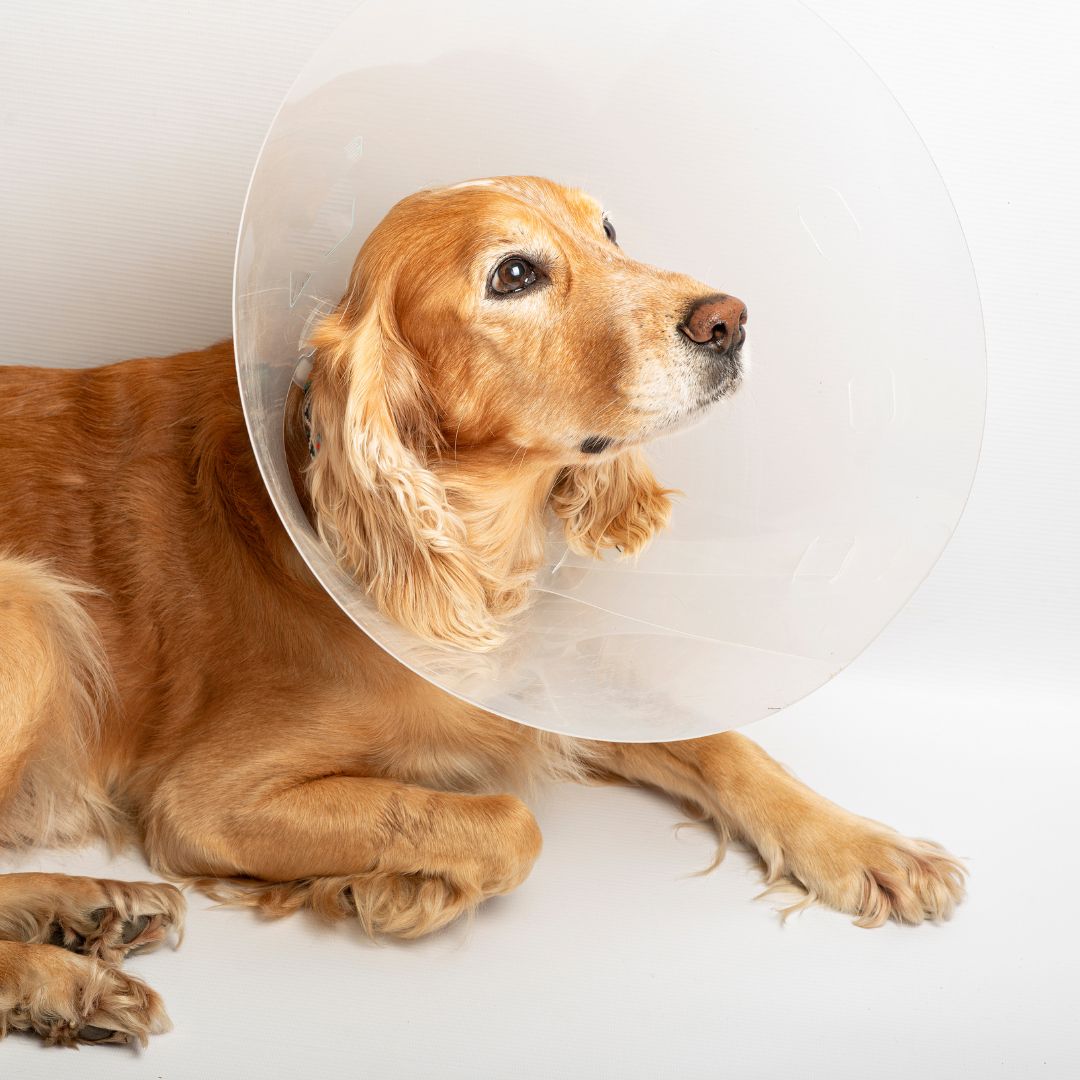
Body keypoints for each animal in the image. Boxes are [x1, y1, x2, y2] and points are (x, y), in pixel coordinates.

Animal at [0, 177, 967, 1045]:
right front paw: (396, 886)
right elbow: (505, 822)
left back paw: (89, 909)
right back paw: (59, 978)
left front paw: (865, 845)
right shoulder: (205, 802)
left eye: (609, 229)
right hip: (38, 613)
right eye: (513, 275)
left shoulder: (543, 688)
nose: (727, 319)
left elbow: (724, 742)